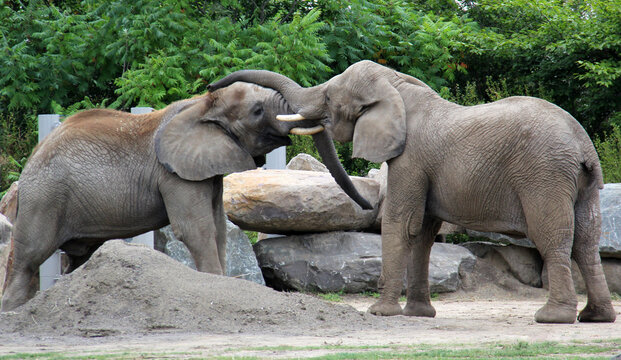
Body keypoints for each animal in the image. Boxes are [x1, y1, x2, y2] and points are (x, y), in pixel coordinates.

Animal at [0, 81, 370, 312]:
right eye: (256, 111)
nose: (366, 206)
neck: (201, 105)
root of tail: (32, 158)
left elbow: (219, 227)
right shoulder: (174, 173)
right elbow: (196, 229)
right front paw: (217, 285)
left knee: (79, 257)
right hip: (45, 197)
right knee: (29, 255)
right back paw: (14, 311)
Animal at [207, 60, 616, 324]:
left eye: (329, 100)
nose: (211, 87)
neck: (398, 87)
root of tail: (582, 145)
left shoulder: (410, 158)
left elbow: (401, 223)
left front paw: (379, 313)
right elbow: (423, 233)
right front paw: (418, 315)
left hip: (543, 174)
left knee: (553, 237)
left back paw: (552, 318)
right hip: (581, 182)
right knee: (587, 240)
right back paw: (594, 317)